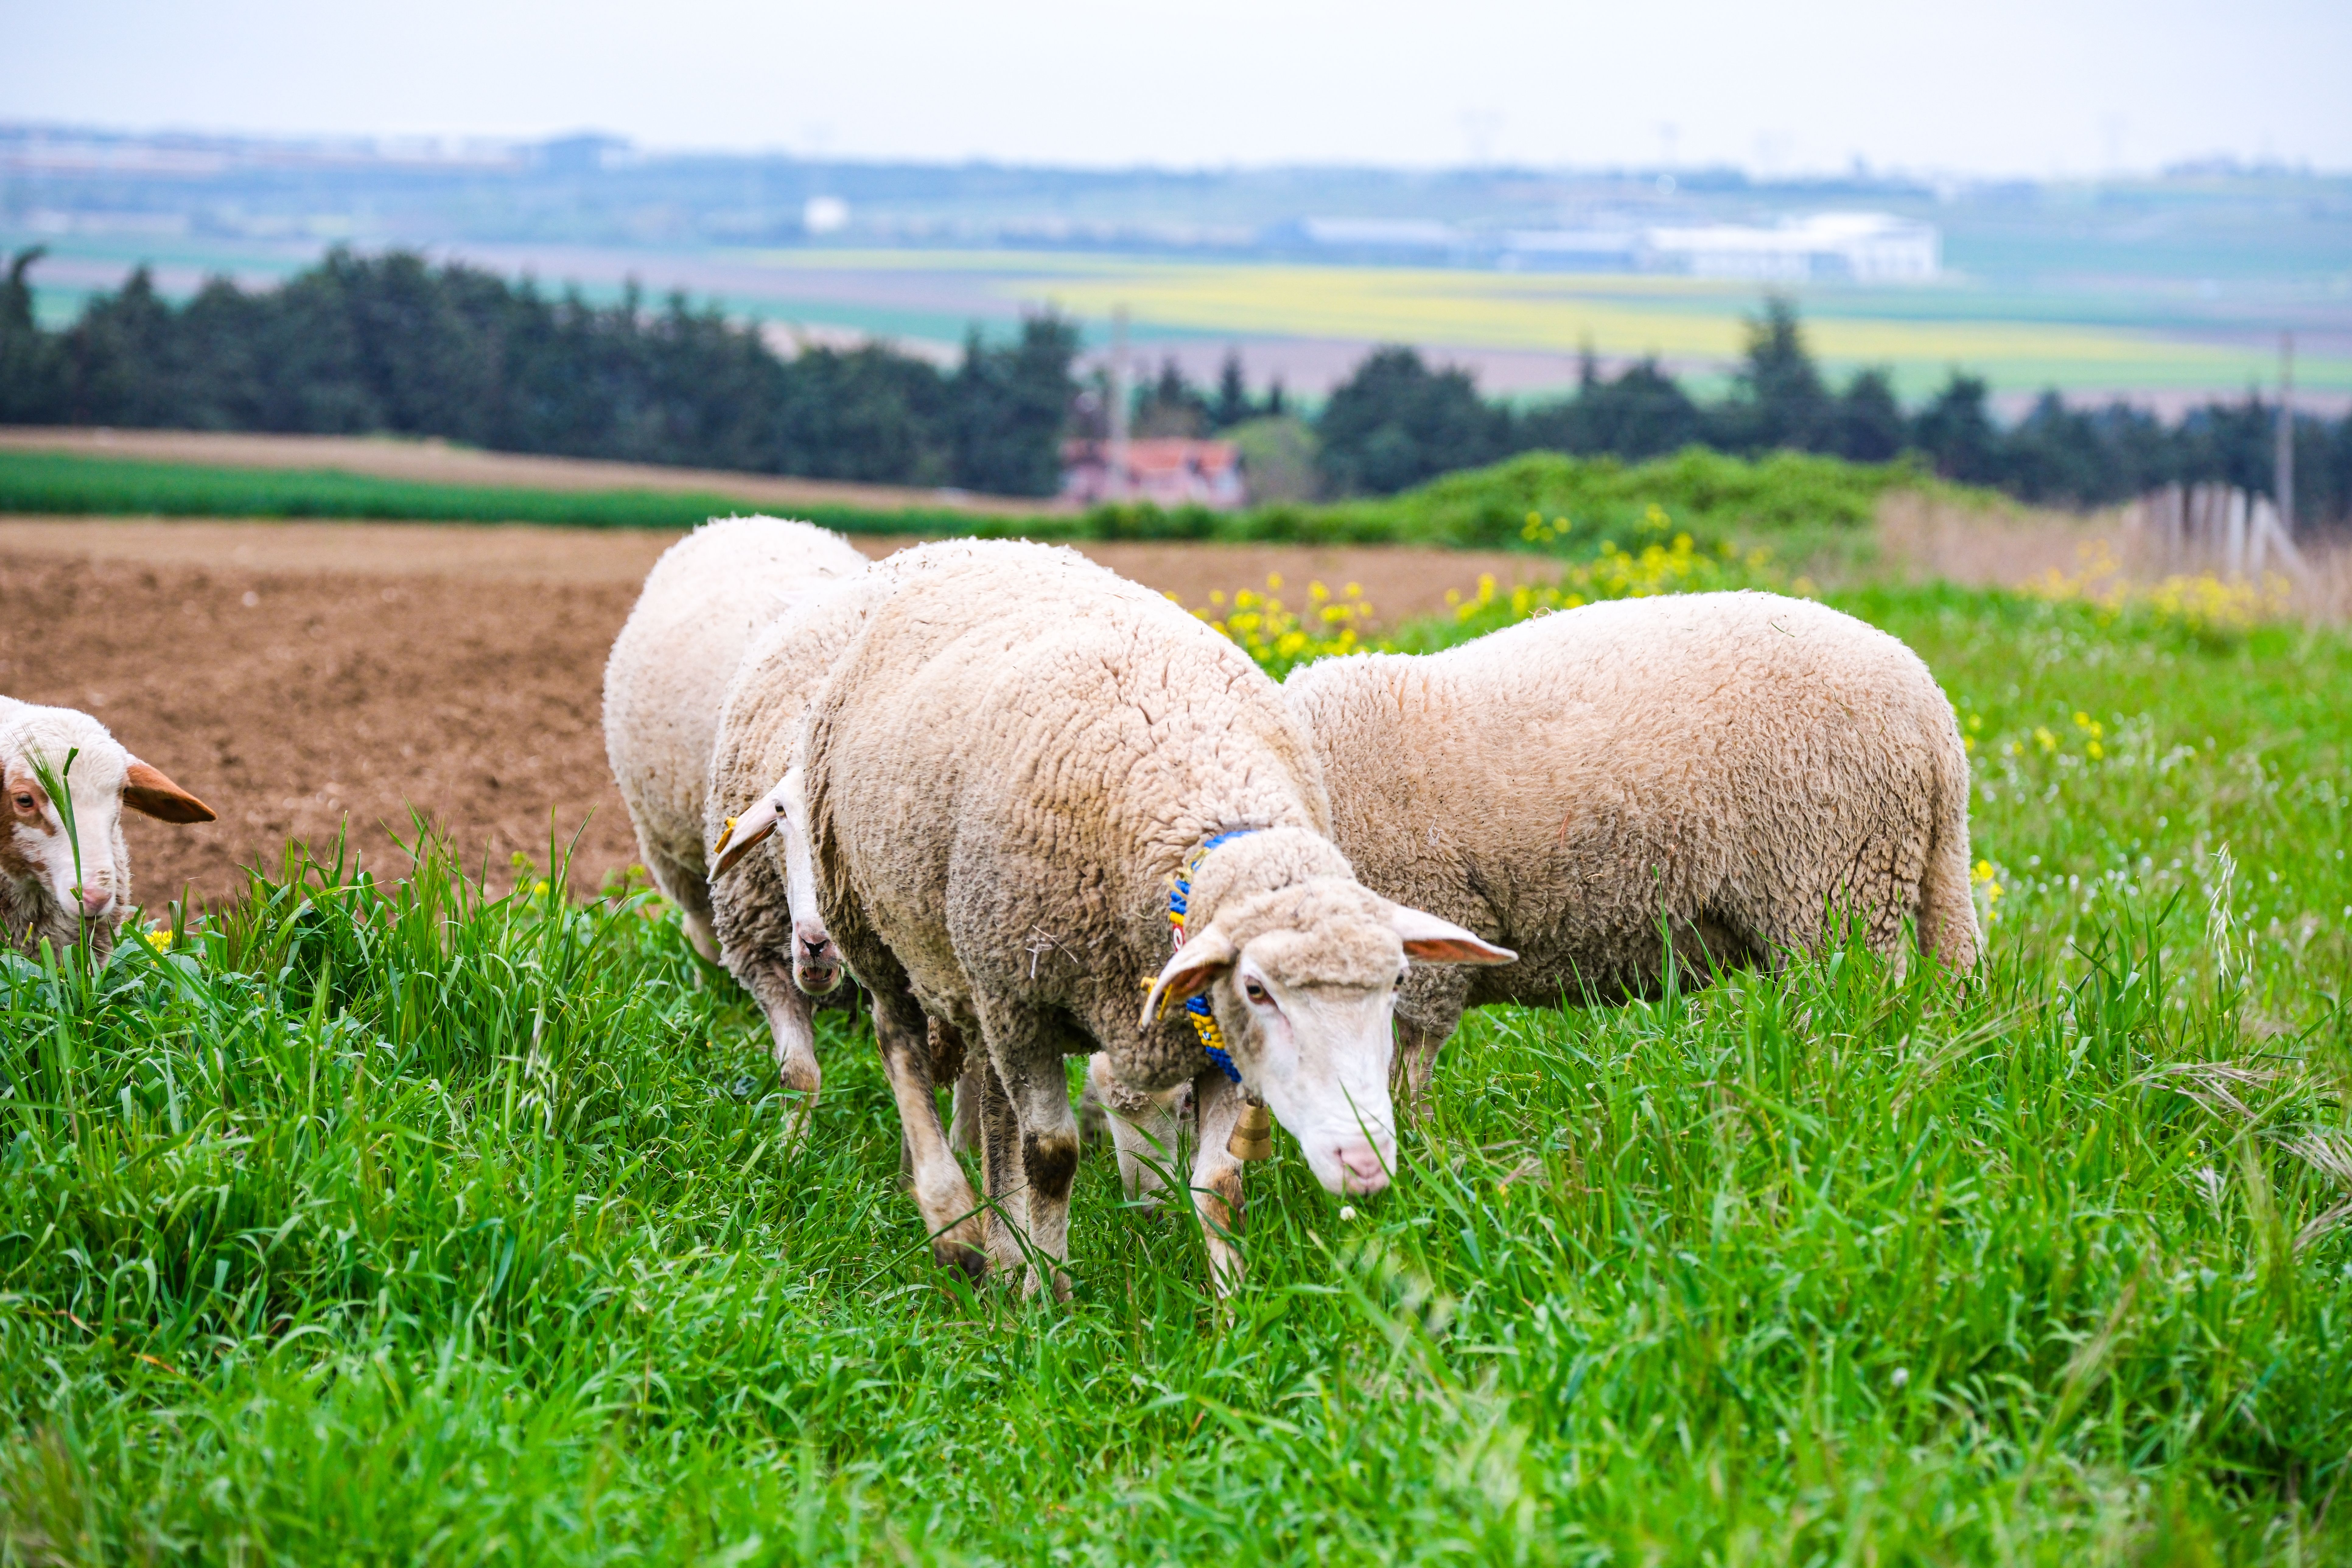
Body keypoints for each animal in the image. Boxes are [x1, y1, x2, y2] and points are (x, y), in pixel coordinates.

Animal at [795, 539, 1512, 1293]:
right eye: (1258, 989)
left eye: (1397, 983)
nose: (1365, 1162)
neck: (1198, 794)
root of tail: (977, 545)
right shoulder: (1026, 1004)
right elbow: (1051, 1154)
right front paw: (1052, 1298)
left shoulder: (1207, 1033)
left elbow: (1221, 1183)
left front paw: (1233, 1301)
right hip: (875, 925)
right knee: (901, 1046)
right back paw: (954, 1223)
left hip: (978, 968)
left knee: (991, 1103)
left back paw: (1002, 1246)